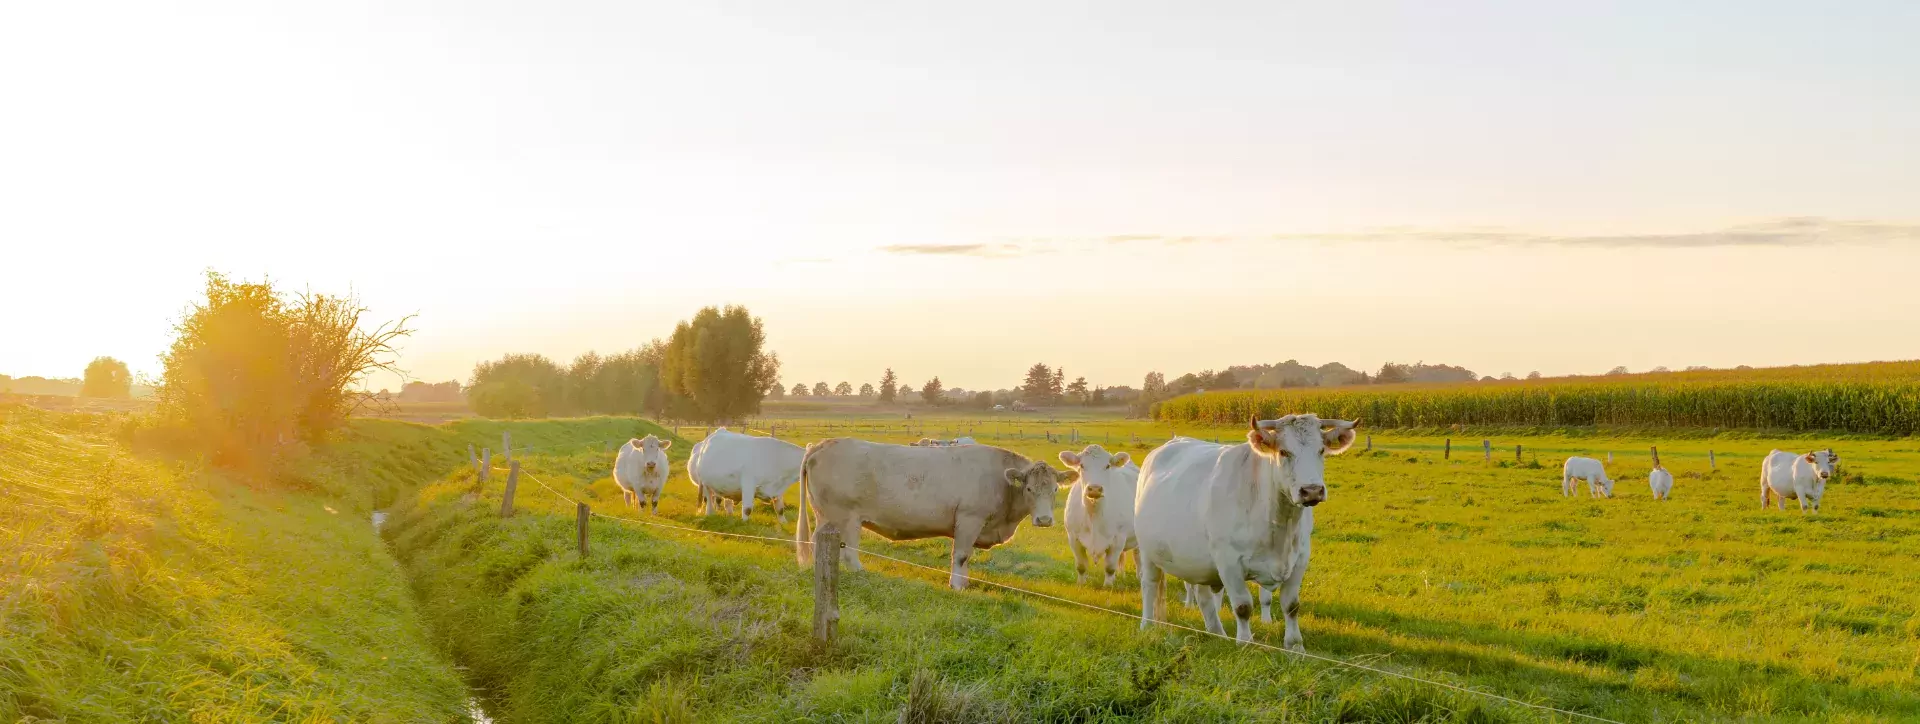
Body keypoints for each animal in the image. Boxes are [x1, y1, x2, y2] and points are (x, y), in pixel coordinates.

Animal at [794, 439, 1066, 590]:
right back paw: (861, 573)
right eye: (1029, 489)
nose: (1044, 520)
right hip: (845, 518)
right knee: (848, 552)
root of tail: (821, 445)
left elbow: (965, 557)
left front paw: (964, 583)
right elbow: (961, 555)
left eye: (1055, 489)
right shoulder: (969, 519)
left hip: (827, 518)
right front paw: (957, 586)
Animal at [1058, 444, 1139, 587]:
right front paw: (1081, 584)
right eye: (1082, 465)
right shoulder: (1073, 538)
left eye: (1107, 466)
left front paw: (1108, 587)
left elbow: (1110, 567)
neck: (1093, 514)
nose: (1095, 488)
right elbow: (1081, 565)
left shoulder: (1117, 539)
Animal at [1134, 415, 1358, 650]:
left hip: (1197, 561)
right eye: (1283, 452)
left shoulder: (1300, 559)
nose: (1312, 491)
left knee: (1203, 595)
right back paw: (1147, 625)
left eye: (1321, 450)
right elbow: (1243, 606)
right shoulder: (1228, 561)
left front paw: (1295, 645)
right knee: (1149, 585)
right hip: (1147, 550)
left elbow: (1291, 605)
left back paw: (1217, 633)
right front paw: (1245, 643)